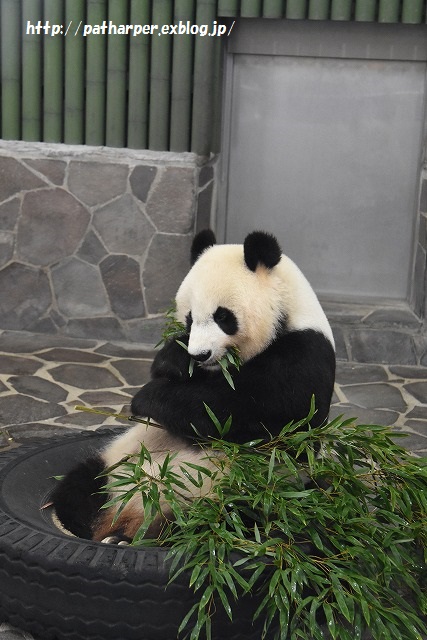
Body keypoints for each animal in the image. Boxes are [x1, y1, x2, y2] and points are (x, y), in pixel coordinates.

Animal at [51, 230, 336, 540]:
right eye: (189, 317)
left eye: (223, 316)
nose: (200, 355)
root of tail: (132, 515)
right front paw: (173, 361)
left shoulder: (303, 355)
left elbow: (248, 413)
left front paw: (146, 398)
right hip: (117, 463)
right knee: (80, 483)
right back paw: (91, 525)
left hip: (250, 492)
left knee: (223, 523)